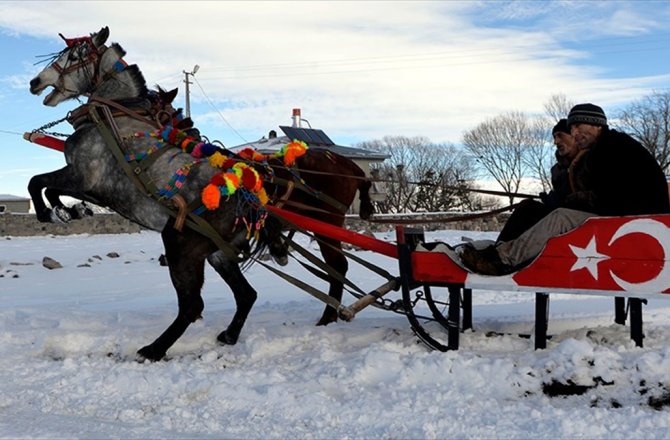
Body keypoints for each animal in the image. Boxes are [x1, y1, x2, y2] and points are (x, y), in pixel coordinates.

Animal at [28, 25, 376, 360]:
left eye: (75, 55)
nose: (35, 81)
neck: (118, 119)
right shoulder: (90, 187)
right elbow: (47, 186)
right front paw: (67, 211)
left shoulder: (84, 177)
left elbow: (37, 182)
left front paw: (51, 212)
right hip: (218, 252)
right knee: (246, 294)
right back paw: (230, 335)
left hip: (187, 244)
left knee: (196, 304)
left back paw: (154, 350)